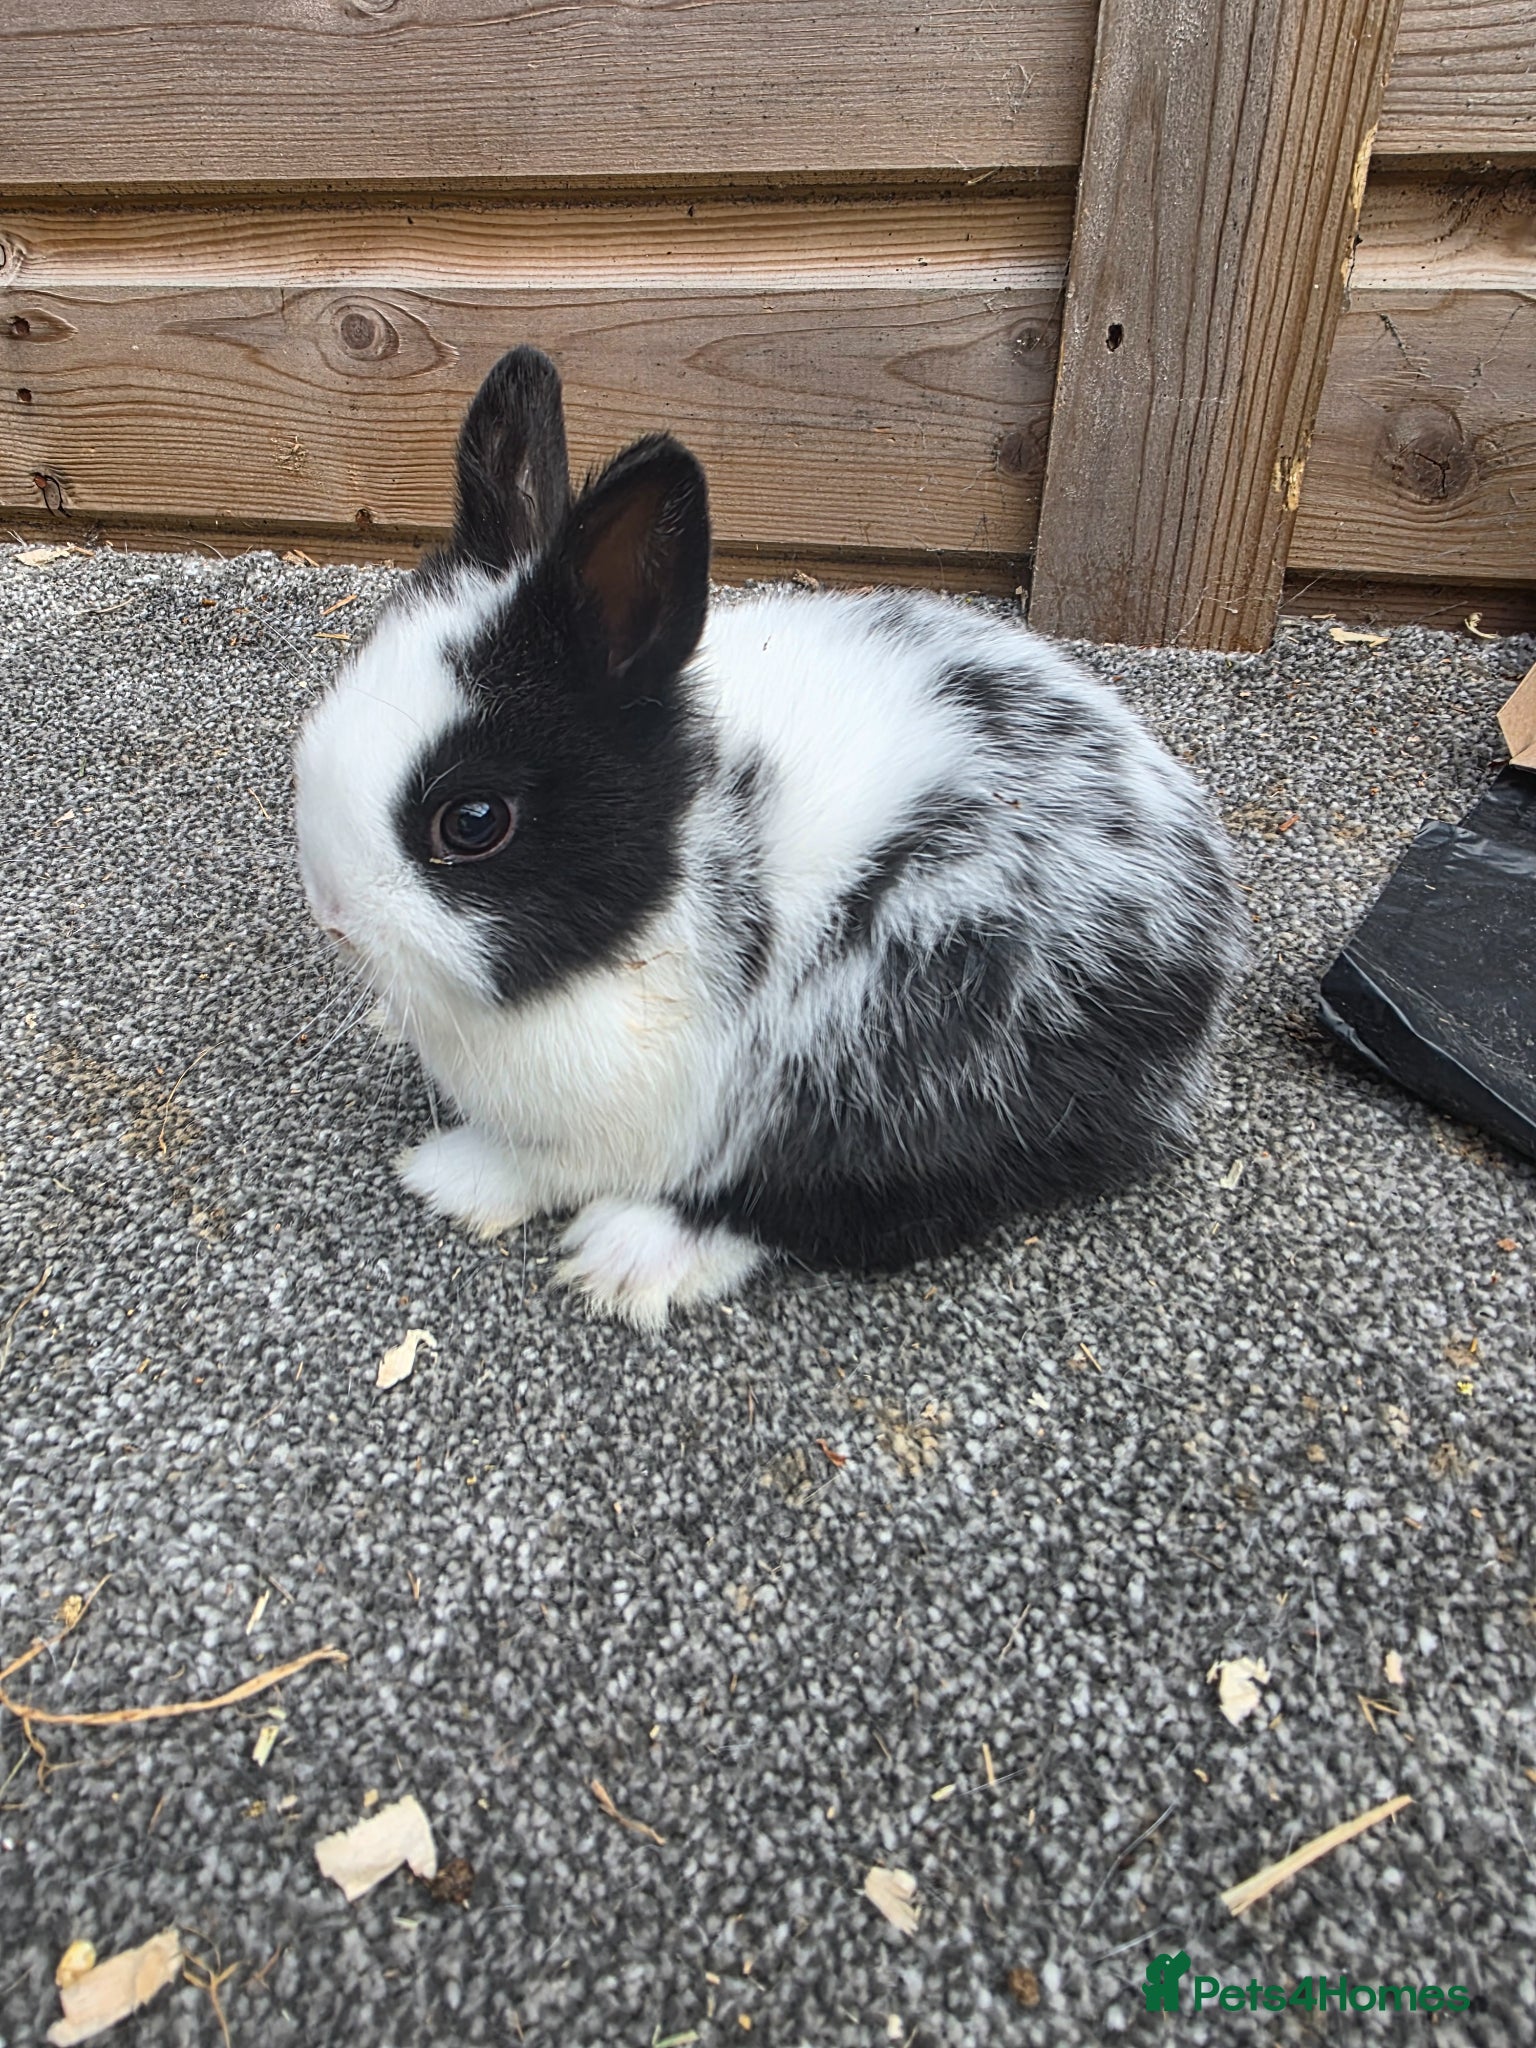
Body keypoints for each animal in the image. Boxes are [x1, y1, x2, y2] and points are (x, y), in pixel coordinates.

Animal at [294, 345, 1247, 1328]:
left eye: (472, 822)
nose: (331, 916)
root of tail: (1205, 940)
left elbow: (564, 1163)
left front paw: (451, 1178)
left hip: (926, 1012)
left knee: (889, 1199)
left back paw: (633, 1256)